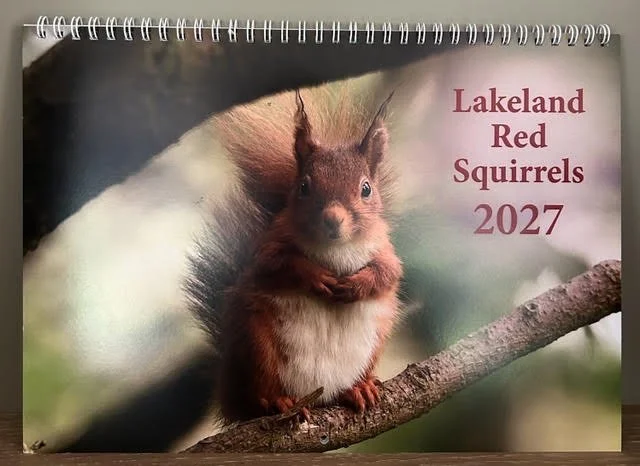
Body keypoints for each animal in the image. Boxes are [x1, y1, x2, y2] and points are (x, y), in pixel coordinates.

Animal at [184, 84, 403, 424]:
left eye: (366, 188)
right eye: (304, 187)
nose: (333, 219)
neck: (336, 247)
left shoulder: (385, 249)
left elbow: (387, 273)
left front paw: (356, 285)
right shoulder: (270, 246)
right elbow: (277, 265)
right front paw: (315, 276)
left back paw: (359, 388)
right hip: (258, 345)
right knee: (262, 393)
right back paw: (278, 402)